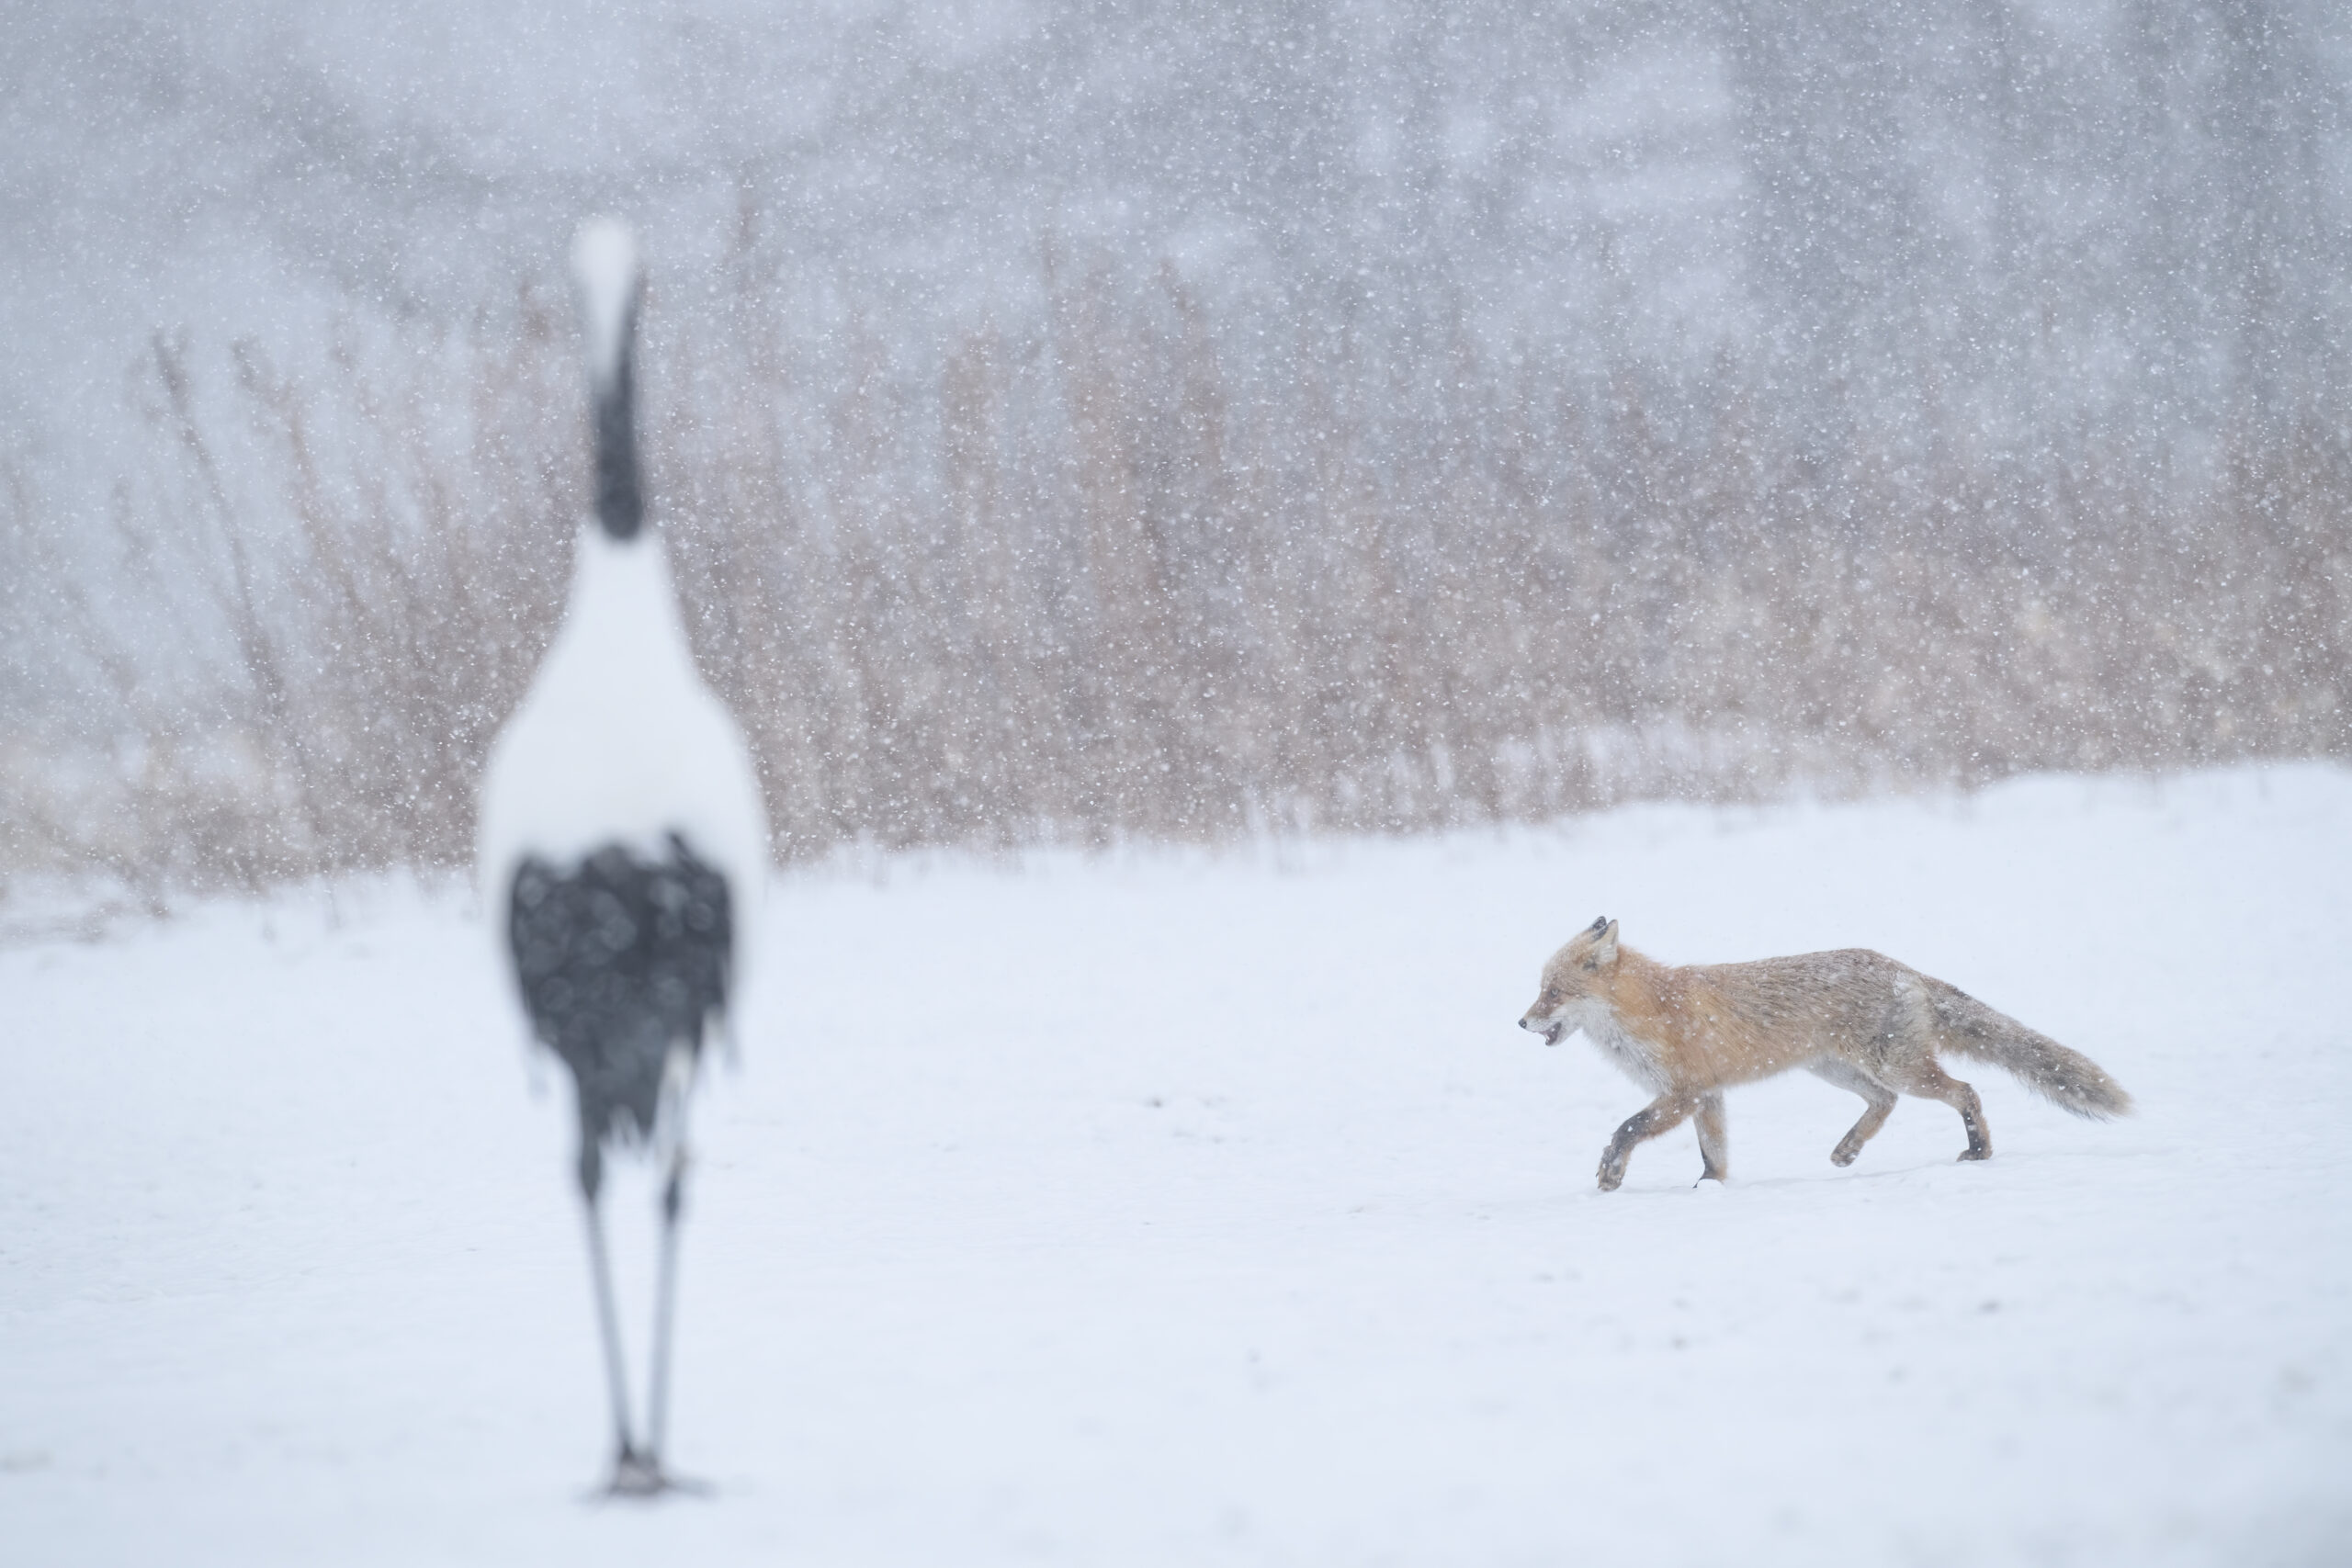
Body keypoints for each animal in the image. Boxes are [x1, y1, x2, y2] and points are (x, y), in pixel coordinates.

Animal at [1517, 917, 2131, 1190]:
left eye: (1555, 993)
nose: (1521, 1022)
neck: (1653, 1008)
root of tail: (1903, 967)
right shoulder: (1709, 1096)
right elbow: (1715, 1156)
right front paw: (1710, 1190)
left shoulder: (1683, 1093)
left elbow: (1626, 1128)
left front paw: (1611, 1172)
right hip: (1836, 1069)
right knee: (1884, 1103)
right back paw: (1848, 1150)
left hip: (1896, 1067)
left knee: (1965, 1091)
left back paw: (1979, 1152)